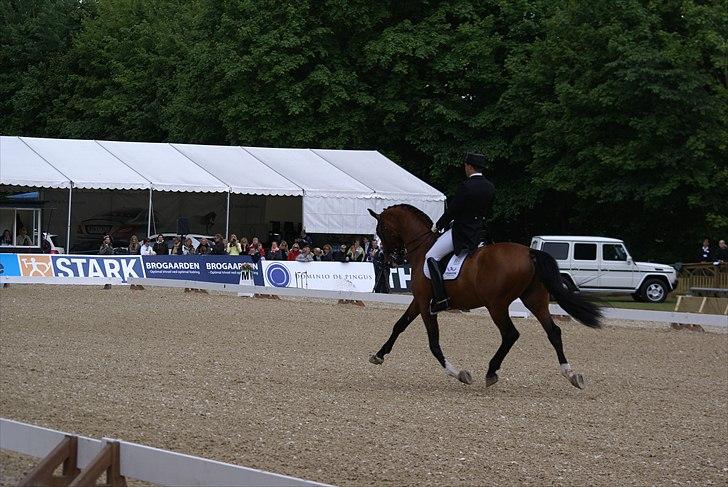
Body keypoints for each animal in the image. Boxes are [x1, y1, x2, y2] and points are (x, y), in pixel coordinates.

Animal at [370, 205, 604, 388]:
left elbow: (433, 342)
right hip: (534, 300)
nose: (390, 258)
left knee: (510, 334)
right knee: (553, 332)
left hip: (496, 305)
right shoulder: (418, 300)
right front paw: (379, 355)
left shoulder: (424, 302)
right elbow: (399, 325)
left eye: (381, 230)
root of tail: (529, 253)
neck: (422, 248)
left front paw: (457, 373)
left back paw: (491, 371)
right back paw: (571, 374)